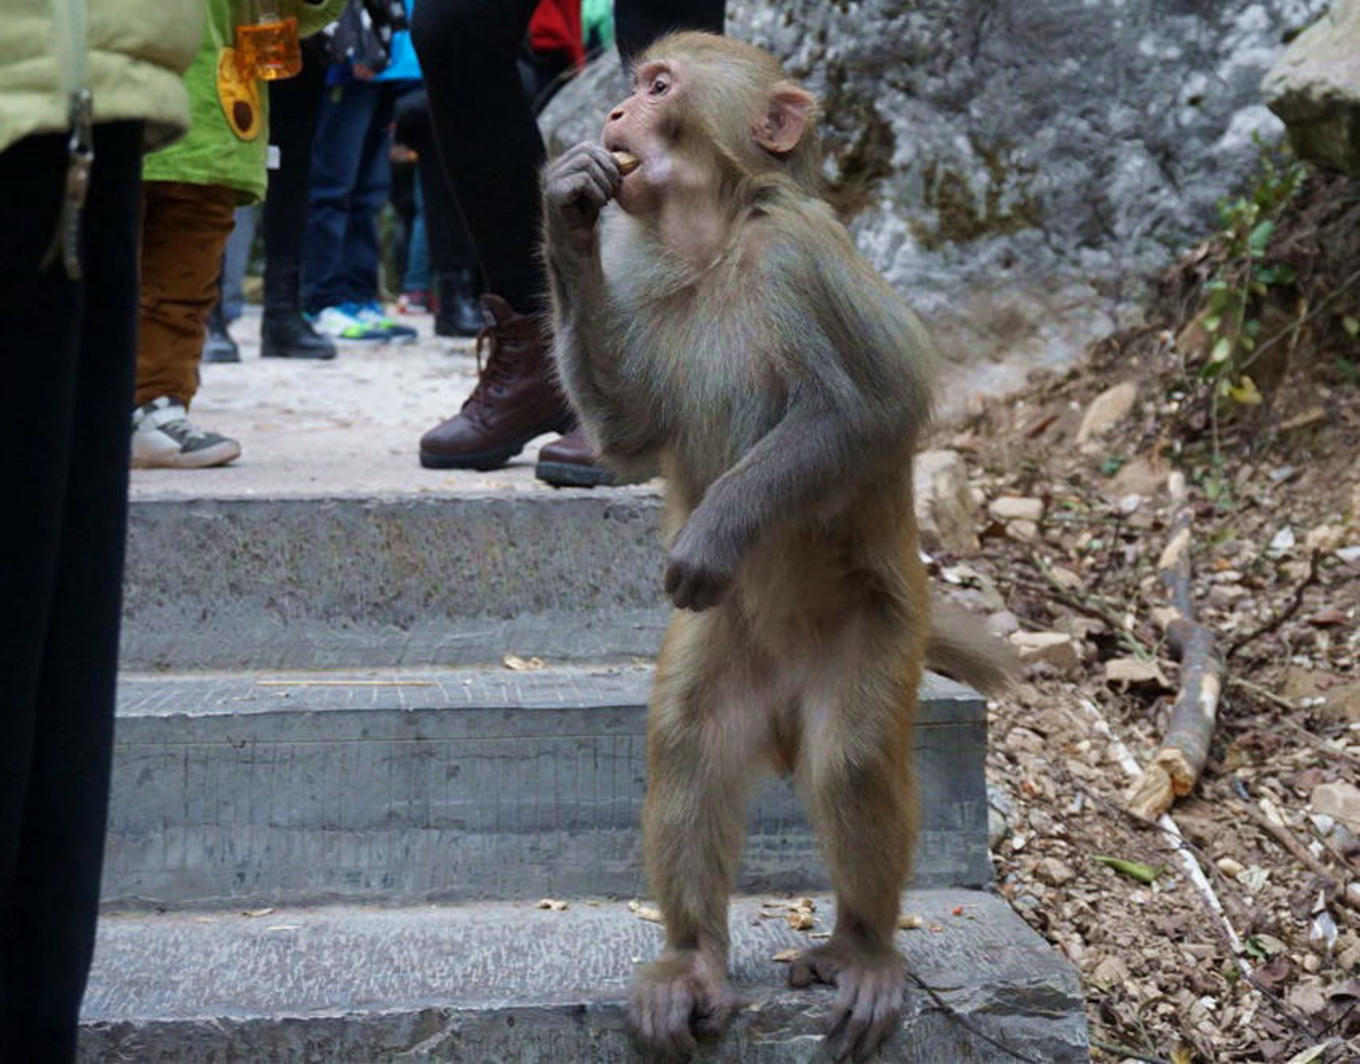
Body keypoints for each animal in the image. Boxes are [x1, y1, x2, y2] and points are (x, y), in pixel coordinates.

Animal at [541, 33, 1011, 1064]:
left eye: (659, 87)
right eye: (632, 91)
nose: (612, 117)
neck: (713, 240)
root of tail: (787, 721)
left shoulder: (803, 262)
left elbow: (863, 411)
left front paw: (713, 534)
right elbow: (628, 432)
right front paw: (566, 210)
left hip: (877, 641)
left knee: (853, 759)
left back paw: (863, 946)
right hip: (729, 657)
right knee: (689, 743)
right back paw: (695, 961)